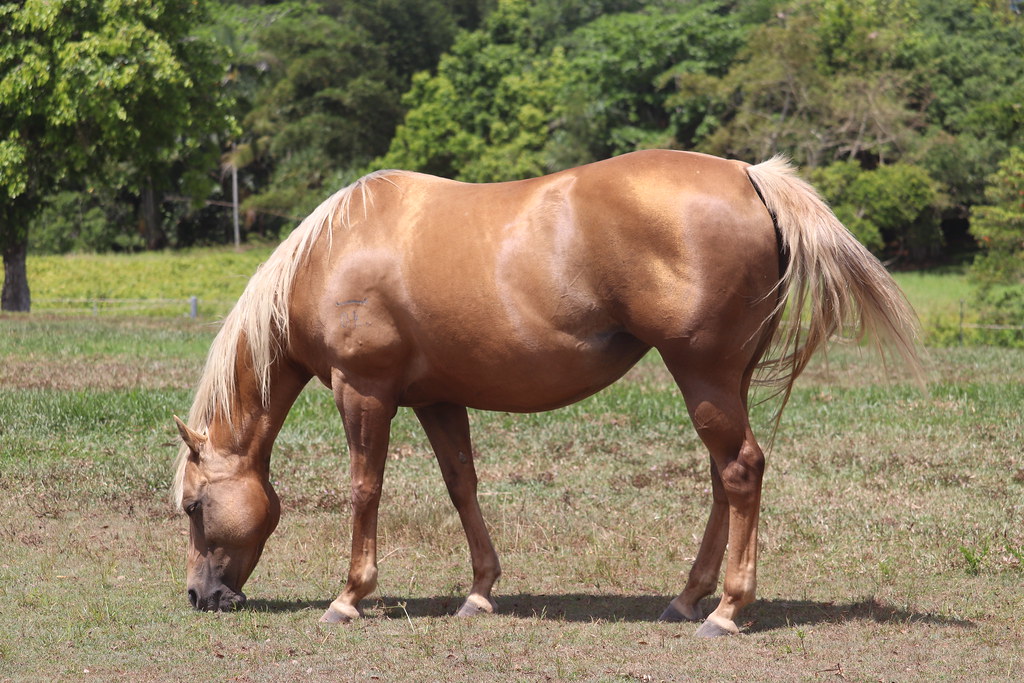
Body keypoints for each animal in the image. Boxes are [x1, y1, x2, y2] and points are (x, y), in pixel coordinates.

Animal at [171, 149, 920, 637]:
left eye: (193, 506)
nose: (201, 596)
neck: (333, 254)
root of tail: (748, 174)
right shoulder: (437, 398)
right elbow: (462, 486)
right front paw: (480, 592)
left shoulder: (366, 394)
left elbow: (365, 489)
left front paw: (349, 596)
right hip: (722, 382)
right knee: (724, 479)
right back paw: (686, 598)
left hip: (703, 375)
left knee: (740, 471)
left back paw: (727, 611)